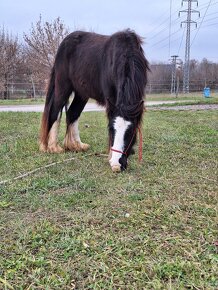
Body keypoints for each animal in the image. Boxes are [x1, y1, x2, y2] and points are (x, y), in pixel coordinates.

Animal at [39, 30, 149, 172]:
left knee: (72, 113)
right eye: (111, 129)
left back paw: (76, 145)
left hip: (81, 93)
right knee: (55, 111)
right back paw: (53, 147)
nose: (116, 165)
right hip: (63, 86)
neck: (126, 53)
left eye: (130, 132)